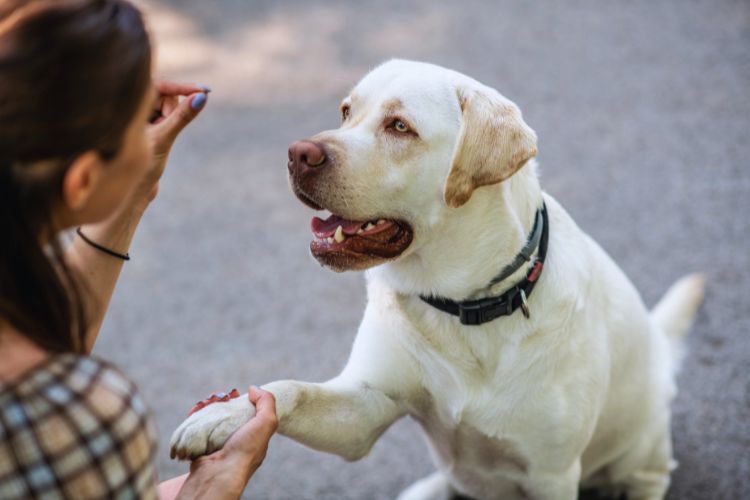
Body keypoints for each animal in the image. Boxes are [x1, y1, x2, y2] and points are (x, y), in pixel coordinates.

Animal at [173, 59, 708, 500]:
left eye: (399, 126)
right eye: (346, 111)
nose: (298, 153)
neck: (463, 305)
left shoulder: (551, 474)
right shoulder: (364, 408)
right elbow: (288, 390)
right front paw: (223, 415)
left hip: (642, 450)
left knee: (649, 477)